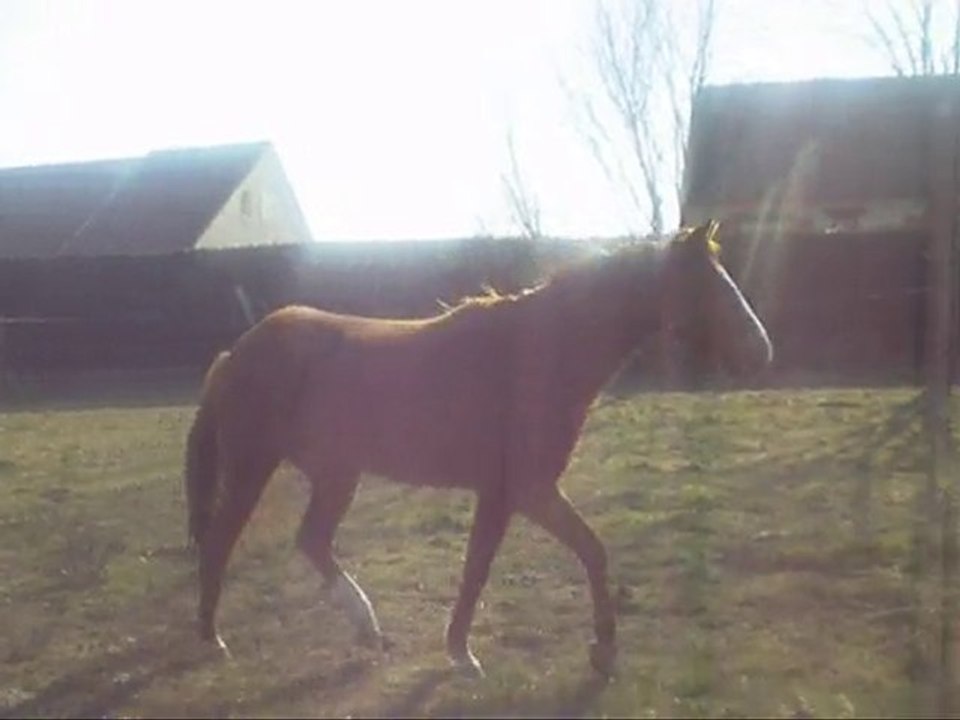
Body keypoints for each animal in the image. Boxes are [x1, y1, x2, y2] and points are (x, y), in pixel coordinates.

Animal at [183, 219, 772, 678]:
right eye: (707, 284)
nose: (761, 350)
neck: (540, 353)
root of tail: (235, 354)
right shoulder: (525, 490)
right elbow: (555, 555)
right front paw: (488, 655)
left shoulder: (508, 494)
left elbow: (504, 563)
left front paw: (473, 651)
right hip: (255, 468)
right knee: (221, 544)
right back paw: (214, 640)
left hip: (336, 473)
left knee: (312, 540)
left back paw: (366, 629)